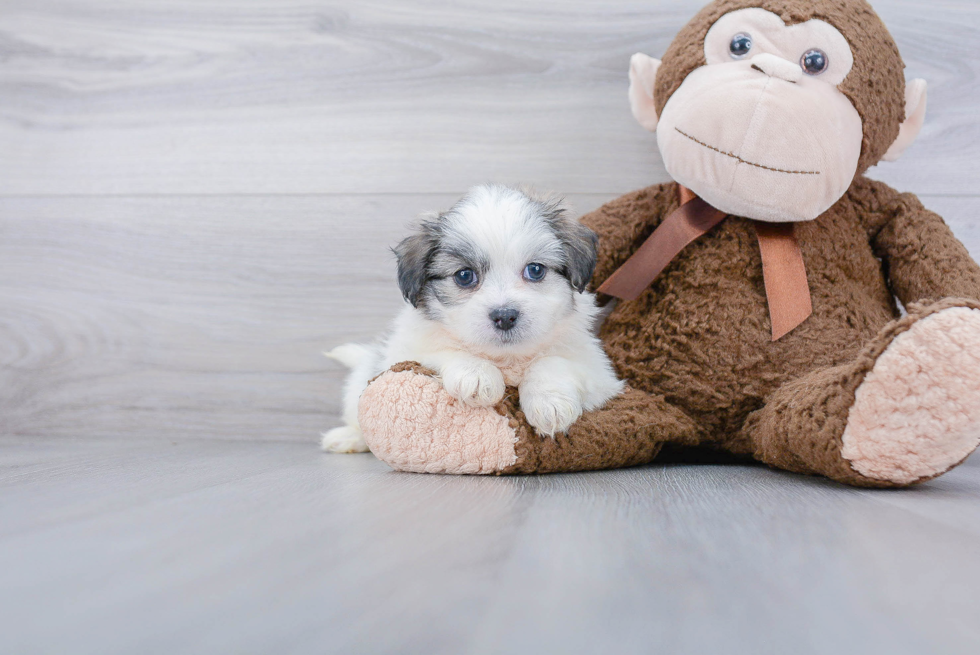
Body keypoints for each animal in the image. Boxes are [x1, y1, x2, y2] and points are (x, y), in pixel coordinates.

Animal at [326, 182, 624, 454]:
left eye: (536, 270)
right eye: (464, 275)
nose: (505, 316)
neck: (505, 359)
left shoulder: (599, 372)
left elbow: (551, 362)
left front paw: (549, 402)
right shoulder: (405, 353)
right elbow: (446, 350)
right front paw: (477, 375)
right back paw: (349, 438)